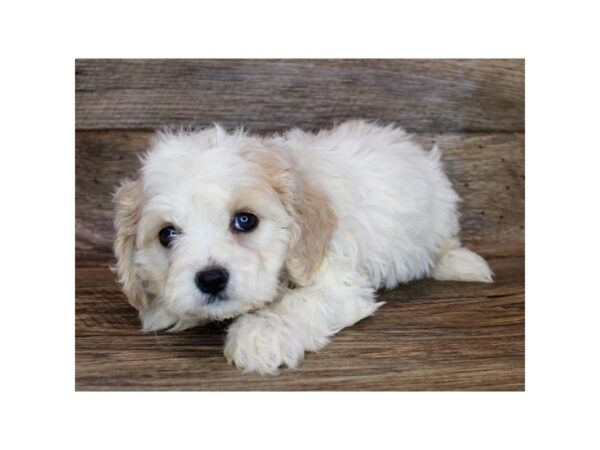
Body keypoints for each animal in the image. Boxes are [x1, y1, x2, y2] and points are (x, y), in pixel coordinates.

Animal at [113, 118, 492, 372]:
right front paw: (165, 309)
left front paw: (260, 335)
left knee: (444, 243)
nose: (210, 279)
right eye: (167, 234)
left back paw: (459, 263)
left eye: (245, 220)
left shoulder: (339, 281)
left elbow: (299, 304)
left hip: (440, 213)